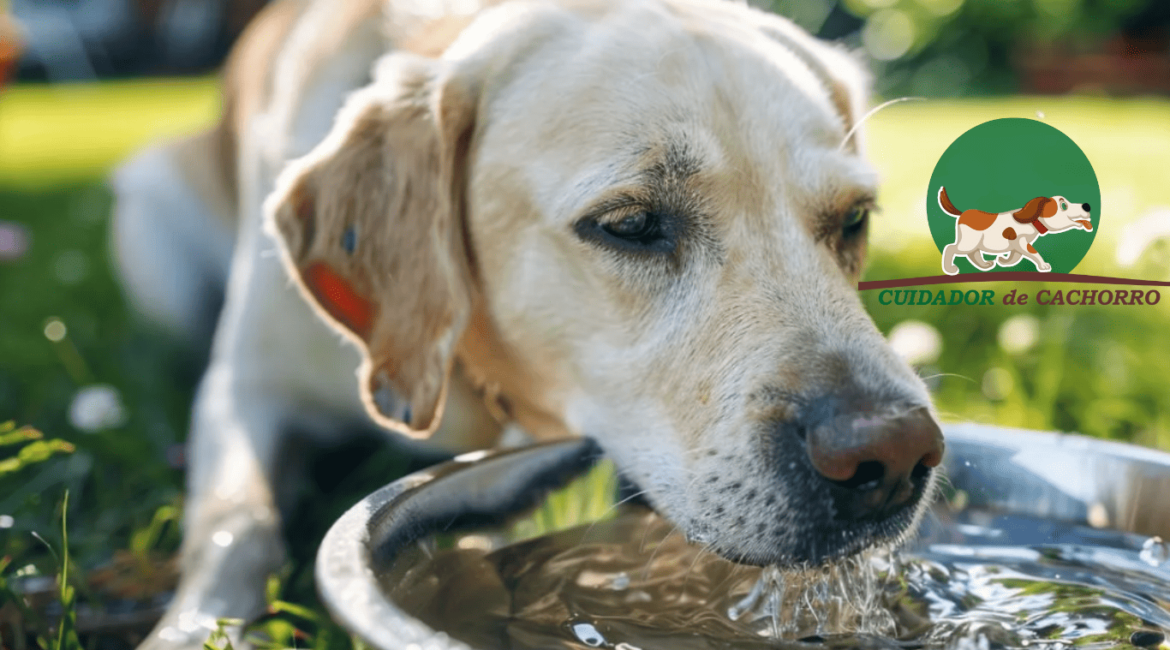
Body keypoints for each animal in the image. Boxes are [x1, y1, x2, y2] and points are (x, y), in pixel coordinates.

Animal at [111, 2, 950, 645]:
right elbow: (236, 522)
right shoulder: (244, 389)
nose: (894, 457)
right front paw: (193, 629)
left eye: (853, 219)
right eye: (631, 224)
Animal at [935, 185, 1090, 274]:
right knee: (951, 248)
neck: (1033, 220)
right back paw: (950, 269)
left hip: (974, 242)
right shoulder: (1021, 242)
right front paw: (1043, 265)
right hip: (968, 241)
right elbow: (1034, 253)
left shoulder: (1017, 245)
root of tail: (963, 213)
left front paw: (1004, 261)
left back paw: (984, 265)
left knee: (973, 254)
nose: (1087, 206)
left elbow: (1015, 256)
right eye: (1064, 205)